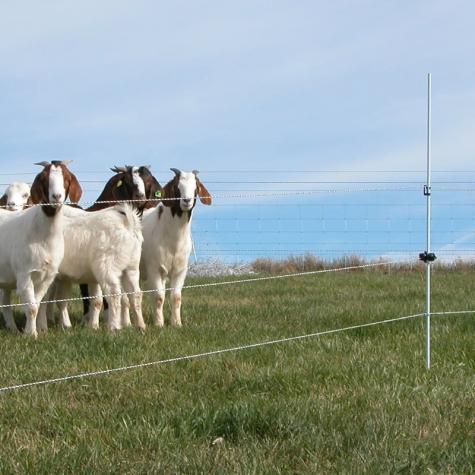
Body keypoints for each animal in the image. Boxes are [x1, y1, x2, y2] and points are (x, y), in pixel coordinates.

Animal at [0, 162, 81, 336]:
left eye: (67, 178)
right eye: (44, 179)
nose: (56, 197)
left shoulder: (48, 276)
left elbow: (37, 305)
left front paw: (31, 330)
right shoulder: (24, 274)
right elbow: (31, 307)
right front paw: (31, 334)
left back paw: (12, 328)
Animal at [139, 167, 210, 328]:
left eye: (196, 187)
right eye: (177, 187)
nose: (187, 200)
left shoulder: (180, 270)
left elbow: (176, 297)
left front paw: (176, 323)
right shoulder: (154, 268)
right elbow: (158, 297)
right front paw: (159, 324)